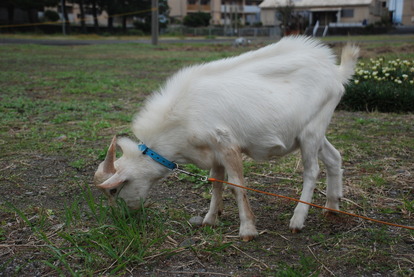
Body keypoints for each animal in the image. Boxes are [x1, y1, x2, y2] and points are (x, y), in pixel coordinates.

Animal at [94, 36, 360, 239]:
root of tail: (336, 72)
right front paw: (210, 219)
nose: (122, 218)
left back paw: (297, 219)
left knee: (312, 170)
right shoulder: (213, 152)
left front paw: (247, 230)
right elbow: (216, 183)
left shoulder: (227, 144)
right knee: (334, 157)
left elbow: (236, 185)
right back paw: (332, 207)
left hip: (311, 131)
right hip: (314, 130)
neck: (181, 117)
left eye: (113, 191)